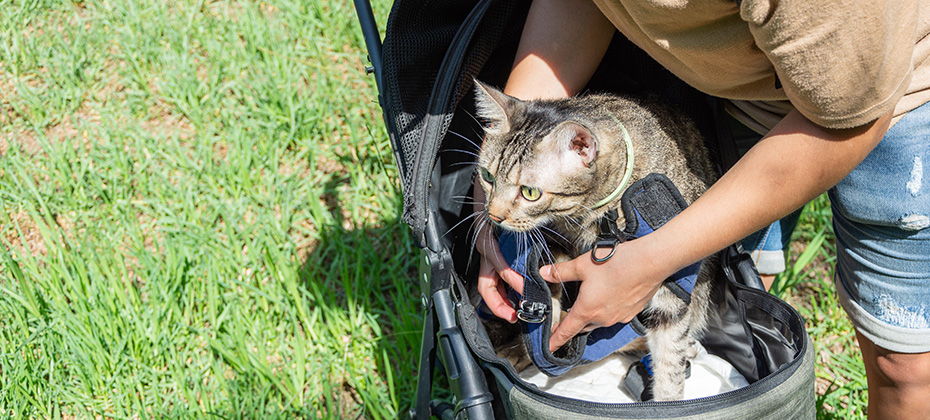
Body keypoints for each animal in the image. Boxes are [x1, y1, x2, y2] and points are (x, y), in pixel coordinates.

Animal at [472, 80, 716, 402]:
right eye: (487, 176)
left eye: (530, 192)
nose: (493, 215)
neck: (597, 216)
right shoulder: (553, 240)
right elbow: (548, 283)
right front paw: (546, 321)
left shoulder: (670, 284)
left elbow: (669, 360)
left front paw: (669, 402)